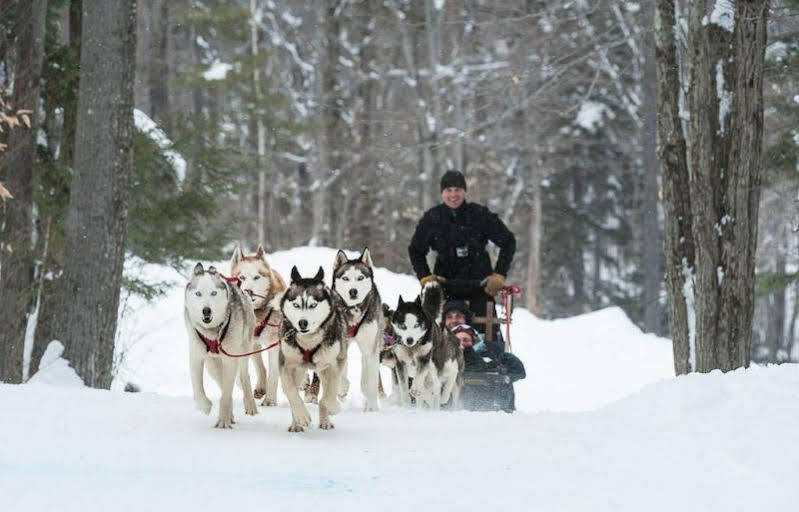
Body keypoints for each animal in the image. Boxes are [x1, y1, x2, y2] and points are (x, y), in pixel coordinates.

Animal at [184, 264, 256, 428]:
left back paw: (249, 404)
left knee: (244, 377)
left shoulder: (230, 359)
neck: (212, 333)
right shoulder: (196, 357)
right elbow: (197, 389)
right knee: (222, 381)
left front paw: (223, 421)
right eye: (198, 293)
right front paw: (206, 406)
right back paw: (230, 414)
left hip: (243, 351)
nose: (206, 310)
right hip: (212, 366)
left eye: (213, 293)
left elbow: (227, 394)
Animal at [228, 242, 288, 406]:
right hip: (254, 344)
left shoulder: (274, 344)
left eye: (256, 277)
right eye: (241, 277)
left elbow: (274, 373)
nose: (248, 291)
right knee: (260, 367)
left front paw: (270, 400)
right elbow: (241, 375)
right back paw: (261, 386)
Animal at [278, 268, 346, 432]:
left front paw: (333, 407)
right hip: (298, 370)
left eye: (313, 305)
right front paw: (301, 416)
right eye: (296, 305)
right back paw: (296, 424)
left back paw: (325, 420)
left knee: (327, 391)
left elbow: (330, 393)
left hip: (324, 368)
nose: (302, 322)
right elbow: (291, 392)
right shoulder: (286, 365)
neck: (308, 341)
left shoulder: (335, 364)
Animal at [330, 248, 382, 412]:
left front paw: (372, 408)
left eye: (360, 278)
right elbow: (340, 372)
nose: (353, 291)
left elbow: (370, 382)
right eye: (345, 278)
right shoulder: (339, 343)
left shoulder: (370, 348)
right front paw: (342, 388)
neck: (353, 310)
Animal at [390, 282, 462, 410]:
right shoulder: (401, 362)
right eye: (403, 326)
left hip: (447, 367)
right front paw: (407, 403)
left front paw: (415, 390)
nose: (409, 340)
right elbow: (404, 387)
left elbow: (421, 381)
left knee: (448, 384)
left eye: (416, 325)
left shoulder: (424, 360)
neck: (412, 349)